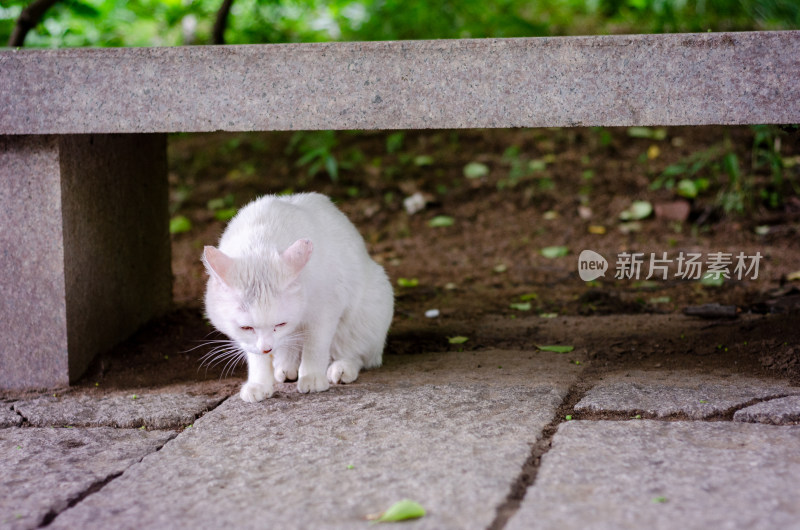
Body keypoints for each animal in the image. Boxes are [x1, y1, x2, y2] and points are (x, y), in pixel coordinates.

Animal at [202, 192, 392, 402]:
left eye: (280, 324)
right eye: (246, 327)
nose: (266, 348)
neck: (260, 245)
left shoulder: (325, 309)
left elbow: (315, 346)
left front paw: (312, 377)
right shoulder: (249, 340)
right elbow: (257, 357)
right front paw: (259, 384)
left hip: (368, 309)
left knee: (357, 353)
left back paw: (341, 368)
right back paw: (286, 367)